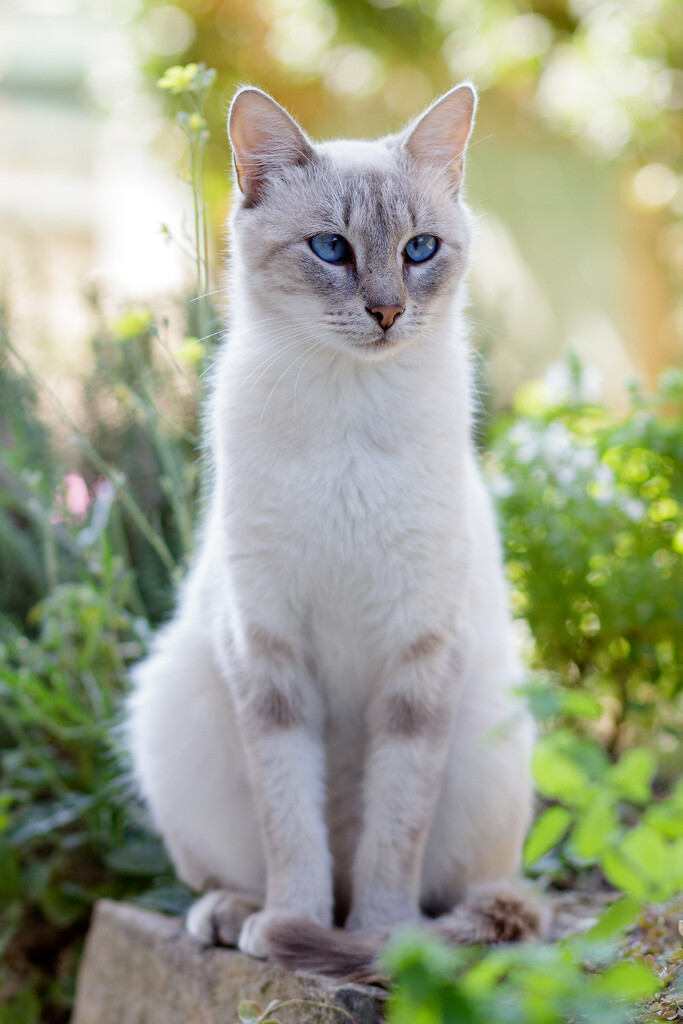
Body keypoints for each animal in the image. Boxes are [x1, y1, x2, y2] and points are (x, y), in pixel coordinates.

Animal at [125, 83, 548, 978]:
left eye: (420, 250)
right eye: (331, 249)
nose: (387, 311)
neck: (351, 411)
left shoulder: (419, 660)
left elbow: (392, 836)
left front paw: (384, 941)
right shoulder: (269, 655)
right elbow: (294, 829)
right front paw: (295, 922)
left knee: (458, 893)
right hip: (172, 712)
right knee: (249, 869)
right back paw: (237, 917)